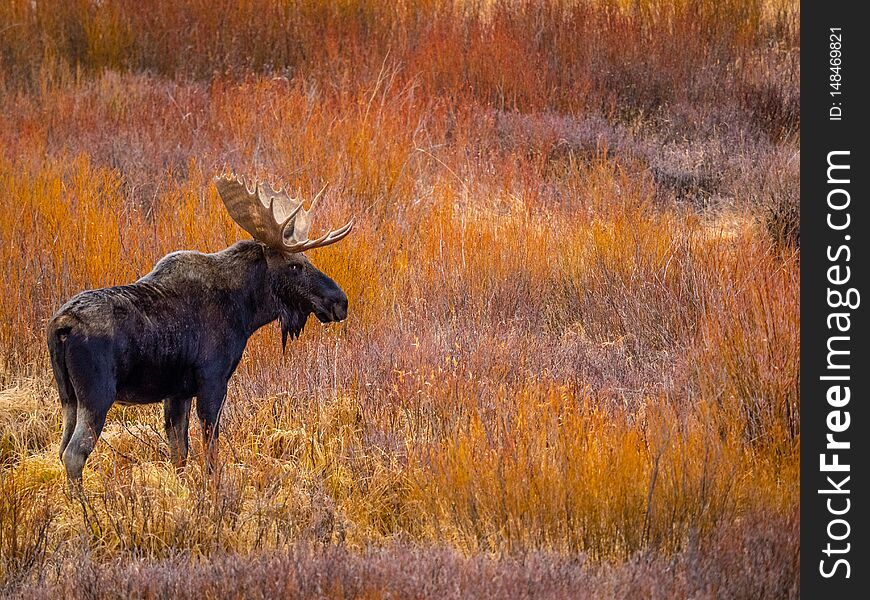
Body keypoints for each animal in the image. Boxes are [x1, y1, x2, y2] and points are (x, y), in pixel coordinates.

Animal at [46, 175, 354, 482]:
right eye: (294, 265)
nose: (340, 301)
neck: (245, 310)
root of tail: (61, 327)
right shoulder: (213, 380)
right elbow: (210, 451)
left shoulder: (177, 392)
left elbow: (179, 452)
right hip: (96, 395)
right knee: (75, 453)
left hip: (68, 398)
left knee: (61, 449)